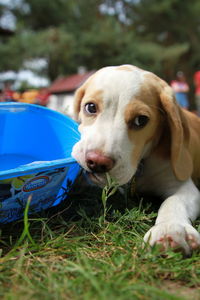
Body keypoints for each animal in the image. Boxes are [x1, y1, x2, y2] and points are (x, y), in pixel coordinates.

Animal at [72, 63, 200, 255]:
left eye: (141, 120)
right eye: (90, 107)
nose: (97, 162)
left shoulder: (183, 187)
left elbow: (173, 202)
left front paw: (170, 229)